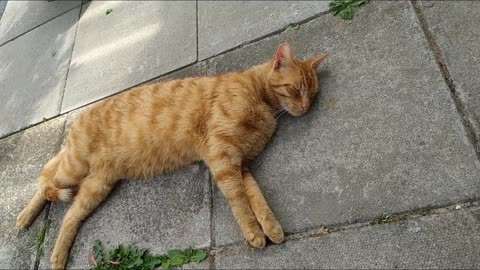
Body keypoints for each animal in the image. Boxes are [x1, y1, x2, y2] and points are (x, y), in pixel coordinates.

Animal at [15, 43, 330, 268]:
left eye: (312, 93)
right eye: (294, 89)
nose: (305, 107)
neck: (261, 100)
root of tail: (78, 119)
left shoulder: (241, 165)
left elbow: (257, 198)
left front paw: (271, 227)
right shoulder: (221, 156)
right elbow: (240, 200)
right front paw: (253, 232)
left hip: (97, 186)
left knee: (69, 216)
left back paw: (57, 256)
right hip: (75, 168)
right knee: (45, 184)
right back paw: (25, 217)